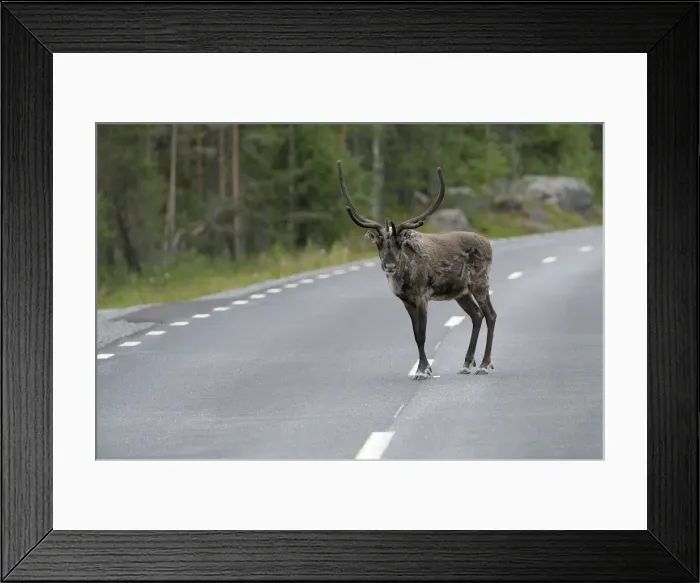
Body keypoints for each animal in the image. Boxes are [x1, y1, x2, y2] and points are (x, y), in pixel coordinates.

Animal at [336, 160, 497, 380]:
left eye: (399, 243)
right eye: (379, 243)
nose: (389, 266)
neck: (404, 276)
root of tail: (488, 243)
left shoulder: (422, 297)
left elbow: (422, 335)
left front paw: (422, 370)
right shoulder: (407, 301)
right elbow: (415, 336)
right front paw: (424, 368)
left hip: (480, 283)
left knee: (490, 315)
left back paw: (484, 364)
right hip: (461, 292)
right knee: (477, 315)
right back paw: (466, 363)